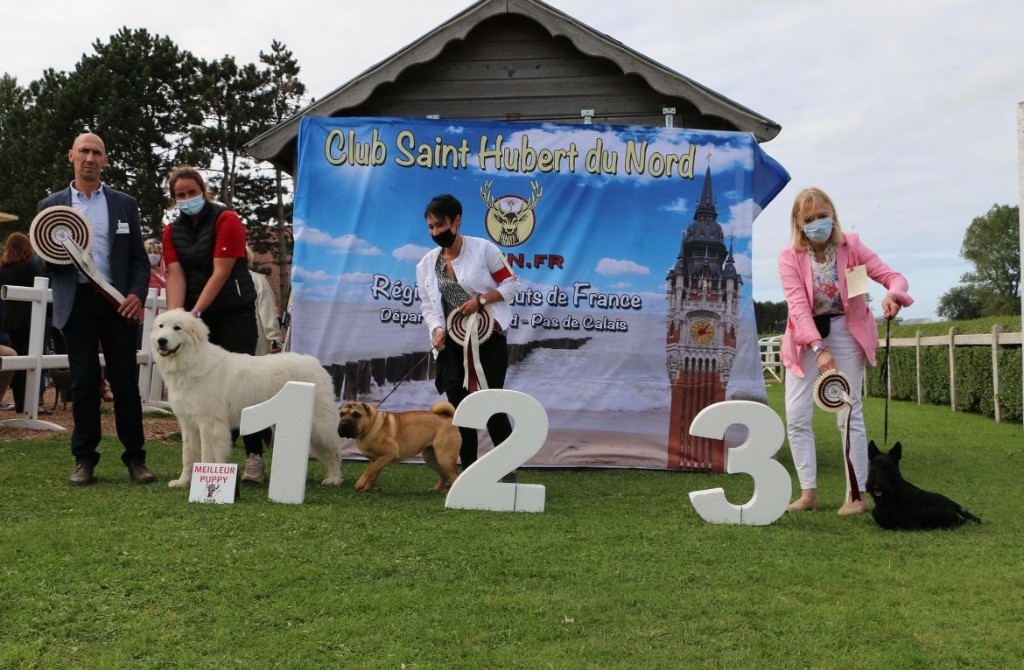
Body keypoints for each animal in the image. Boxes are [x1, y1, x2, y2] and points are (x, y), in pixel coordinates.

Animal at [149, 309, 344, 487]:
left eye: (177, 328)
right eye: (161, 326)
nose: (161, 341)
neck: (192, 362)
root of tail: (315, 363)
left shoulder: (209, 423)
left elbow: (206, 455)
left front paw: (203, 479)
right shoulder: (188, 424)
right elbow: (188, 456)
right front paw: (183, 482)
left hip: (319, 426)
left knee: (334, 451)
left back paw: (334, 479)